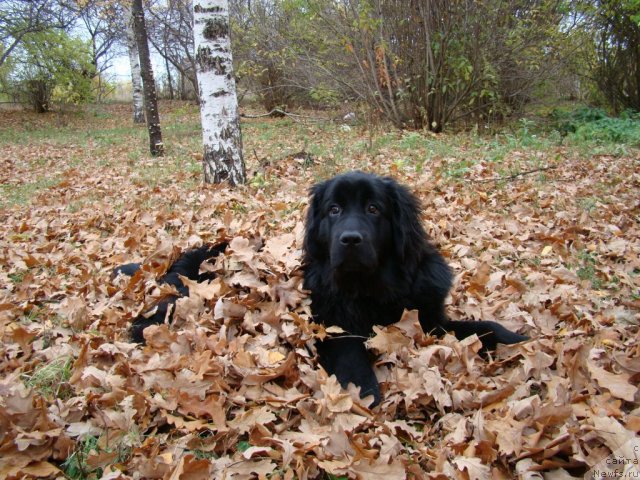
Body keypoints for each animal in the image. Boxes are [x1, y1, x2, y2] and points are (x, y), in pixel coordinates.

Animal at [302, 172, 528, 404]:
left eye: (373, 208)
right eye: (334, 209)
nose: (350, 239)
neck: (373, 289)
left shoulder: (432, 323)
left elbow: (486, 327)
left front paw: (520, 341)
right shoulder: (333, 329)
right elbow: (351, 357)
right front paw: (365, 394)